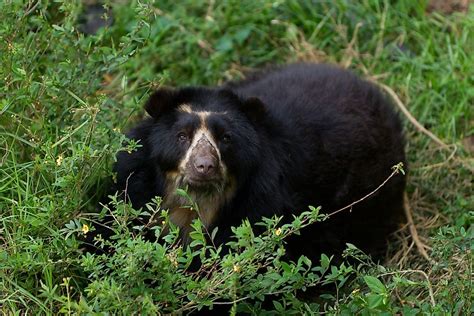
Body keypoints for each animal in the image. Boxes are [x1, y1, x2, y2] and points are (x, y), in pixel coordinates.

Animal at [108, 63, 408, 262]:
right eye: (182, 136)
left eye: (226, 138)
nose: (204, 166)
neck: (196, 203)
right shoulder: (135, 178)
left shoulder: (262, 202)